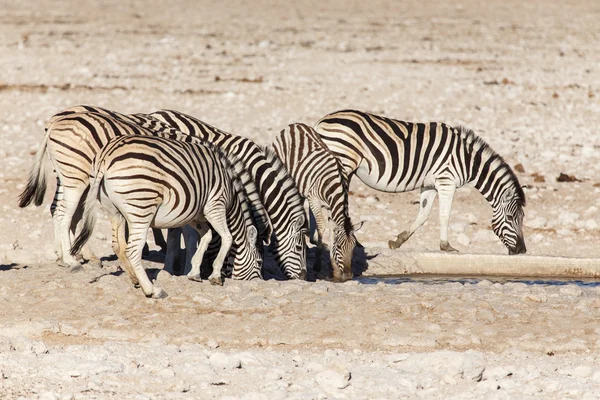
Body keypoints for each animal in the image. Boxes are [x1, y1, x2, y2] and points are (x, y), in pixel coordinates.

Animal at [68, 134, 262, 296]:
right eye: (259, 263)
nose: (260, 283)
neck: (231, 193)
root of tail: (106, 156)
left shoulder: (194, 216)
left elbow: (205, 237)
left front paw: (194, 272)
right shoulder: (215, 206)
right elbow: (227, 237)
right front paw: (215, 275)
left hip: (114, 211)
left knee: (118, 246)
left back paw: (134, 279)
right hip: (142, 207)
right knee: (132, 249)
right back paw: (152, 290)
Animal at [270, 122, 360, 282]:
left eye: (354, 247)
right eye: (339, 247)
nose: (349, 276)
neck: (335, 183)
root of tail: (294, 125)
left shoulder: (331, 207)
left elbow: (331, 229)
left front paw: (333, 268)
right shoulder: (314, 200)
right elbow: (321, 227)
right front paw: (318, 265)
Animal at [314, 109, 524, 253]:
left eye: (522, 218)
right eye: (511, 218)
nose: (522, 250)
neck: (467, 160)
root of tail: (321, 121)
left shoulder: (429, 184)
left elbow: (423, 214)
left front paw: (398, 241)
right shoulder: (446, 181)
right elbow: (444, 215)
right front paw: (446, 246)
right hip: (342, 162)